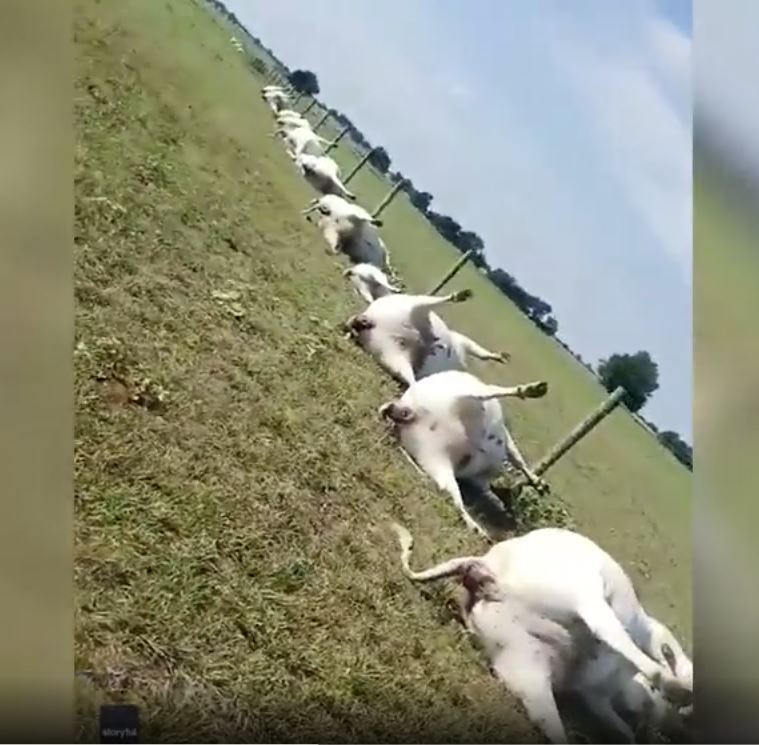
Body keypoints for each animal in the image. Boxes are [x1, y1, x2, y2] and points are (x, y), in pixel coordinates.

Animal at [346, 290, 512, 386]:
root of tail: (370, 320)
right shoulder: (463, 342)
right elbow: (481, 353)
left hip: (391, 355)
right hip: (415, 306)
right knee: (434, 301)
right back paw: (461, 295)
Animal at [380, 368, 552, 536]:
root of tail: (408, 410)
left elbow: (516, 461)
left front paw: (538, 485)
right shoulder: (504, 438)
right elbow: (517, 458)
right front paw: (537, 484)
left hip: (434, 458)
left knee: (451, 496)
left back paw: (477, 529)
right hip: (463, 396)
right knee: (492, 391)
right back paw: (534, 389)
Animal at [394, 524, 696, 744]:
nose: (679, 729)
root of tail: (486, 574)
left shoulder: (594, 696)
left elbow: (624, 729)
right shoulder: (642, 631)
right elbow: (668, 650)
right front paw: (681, 684)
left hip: (526, 670)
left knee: (554, 730)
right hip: (580, 591)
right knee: (608, 630)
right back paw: (677, 687)